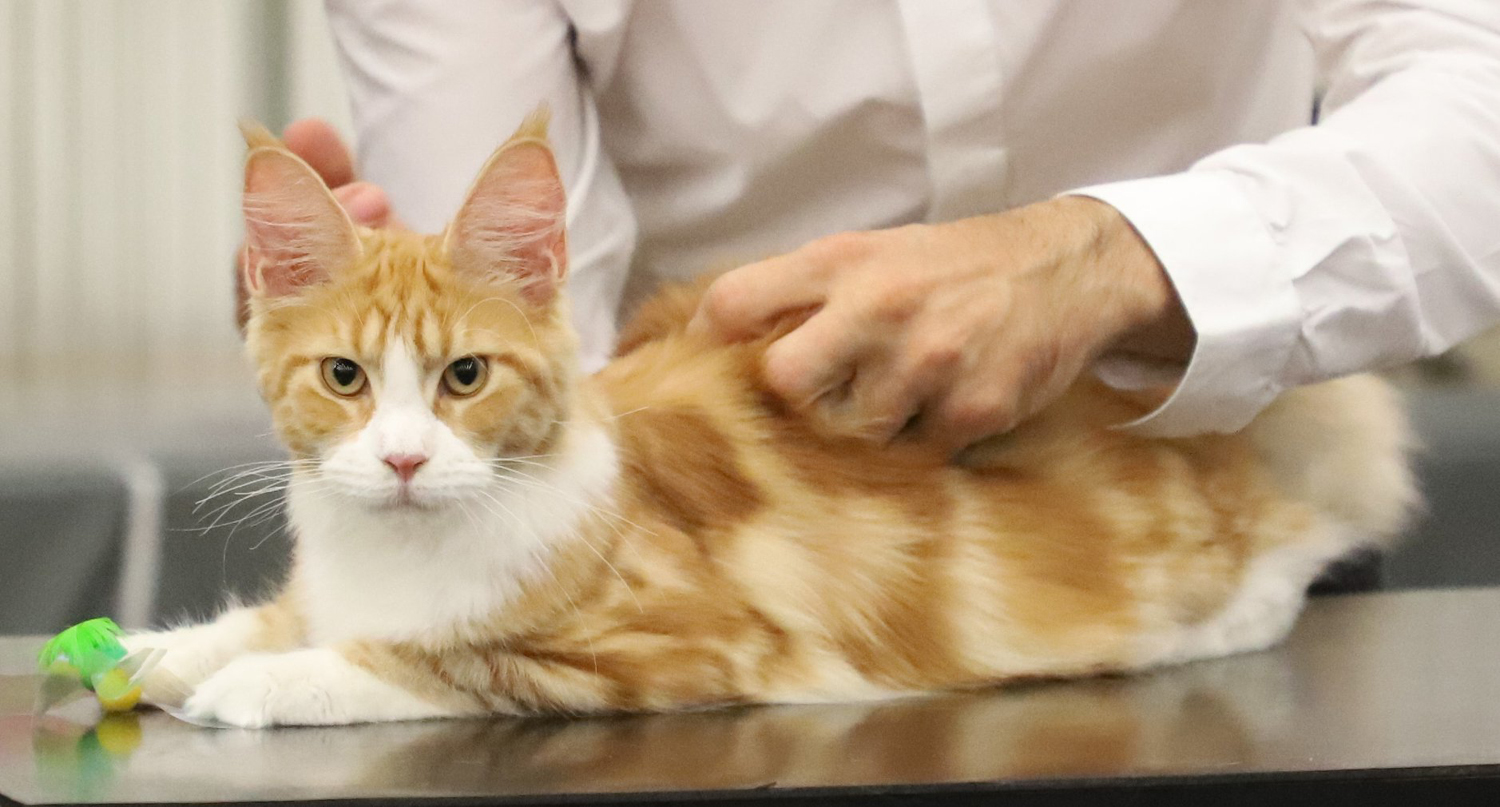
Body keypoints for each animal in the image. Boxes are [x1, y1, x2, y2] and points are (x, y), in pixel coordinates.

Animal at [125, 110, 1416, 728]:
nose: (399, 459)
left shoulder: (677, 643)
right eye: (345, 378)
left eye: (465, 379)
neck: (397, 548)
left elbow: (433, 660)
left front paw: (271, 682)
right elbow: (266, 618)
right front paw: (162, 651)